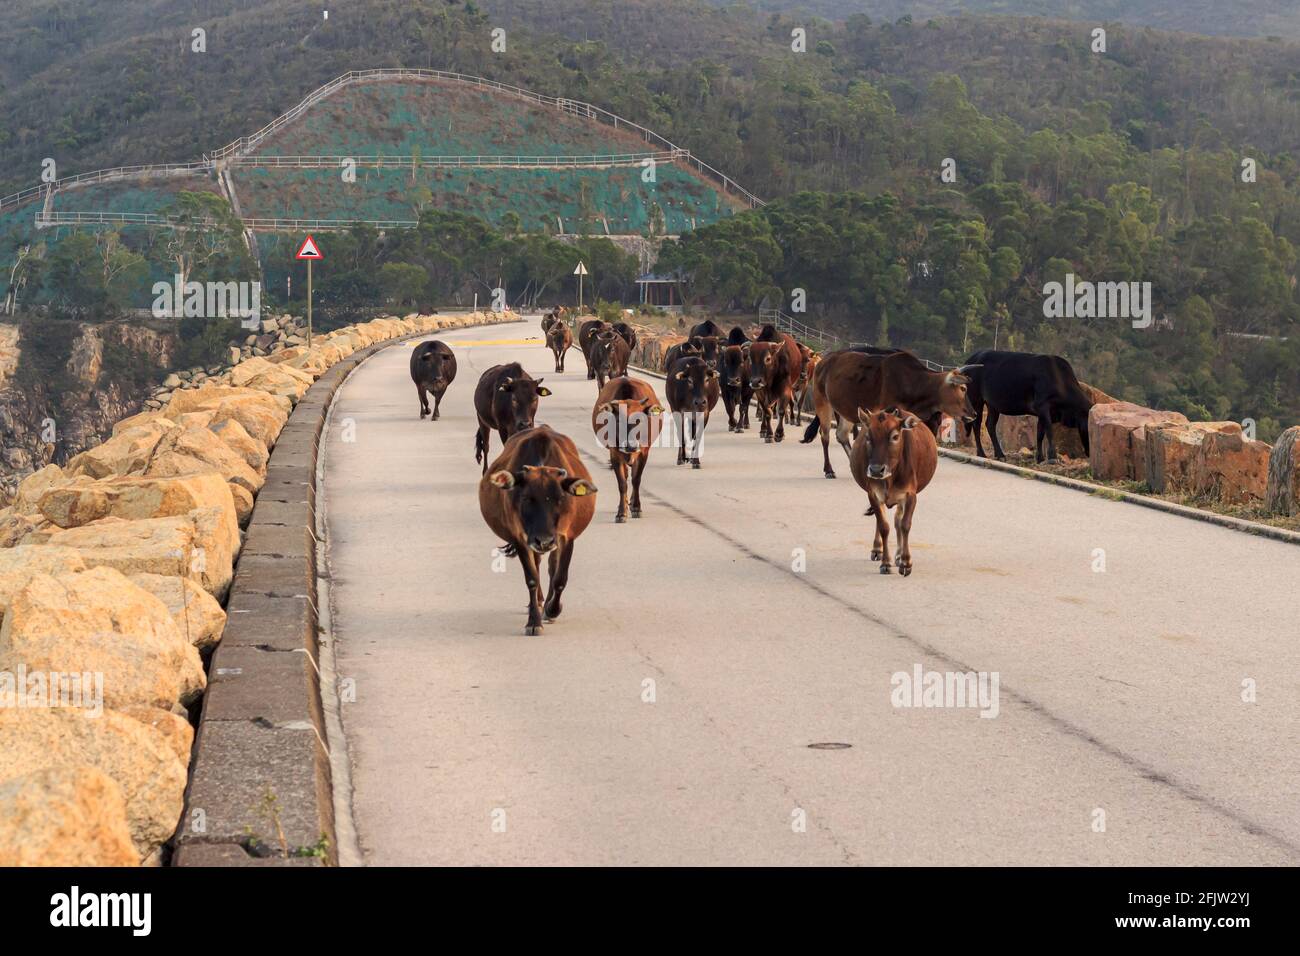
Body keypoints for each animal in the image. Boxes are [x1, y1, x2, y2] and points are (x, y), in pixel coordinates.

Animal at [480, 426, 595, 634]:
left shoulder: (566, 537)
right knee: (538, 563)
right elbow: (532, 578)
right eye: (527, 498)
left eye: (560, 498)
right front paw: (534, 621)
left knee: (551, 566)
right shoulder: (521, 538)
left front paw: (553, 609)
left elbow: (560, 578)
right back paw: (540, 601)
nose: (544, 540)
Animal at [595, 377, 665, 522]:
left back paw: (632, 504)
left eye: (640, 420)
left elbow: (636, 480)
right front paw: (621, 512)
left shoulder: (643, 453)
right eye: (619, 421)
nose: (631, 445)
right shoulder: (615, 454)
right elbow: (622, 483)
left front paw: (637, 508)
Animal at [800, 348, 977, 478]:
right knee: (825, 436)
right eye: (963, 388)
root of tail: (822, 361)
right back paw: (829, 470)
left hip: (845, 410)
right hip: (822, 402)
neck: (915, 383)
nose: (973, 413)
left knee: (841, 435)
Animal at [852, 405, 935, 574]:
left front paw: (905, 562)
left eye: (895, 437)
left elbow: (904, 525)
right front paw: (885, 563)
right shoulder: (873, 494)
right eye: (868, 437)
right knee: (882, 521)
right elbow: (883, 526)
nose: (876, 470)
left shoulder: (910, 495)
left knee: (898, 520)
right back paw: (877, 550)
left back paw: (898, 555)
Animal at [961, 348, 1092, 463]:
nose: (1089, 452)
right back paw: (982, 453)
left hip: (992, 405)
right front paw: (1052, 457)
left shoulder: (1042, 413)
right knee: (976, 424)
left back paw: (1000, 454)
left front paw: (1040, 458)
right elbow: (1049, 431)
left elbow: (1040, 434)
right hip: (976, 399)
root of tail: (970, 359)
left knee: (990, 425)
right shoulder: (1043, 407)